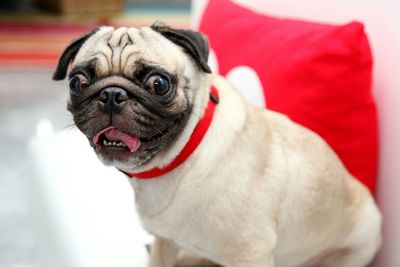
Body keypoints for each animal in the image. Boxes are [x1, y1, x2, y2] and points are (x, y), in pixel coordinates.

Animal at [52, 23, 382, 267]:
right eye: (77, 83)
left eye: (159, 84)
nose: (111, 95)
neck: (180, 160)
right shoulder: (165, 243)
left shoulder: (250, 255)